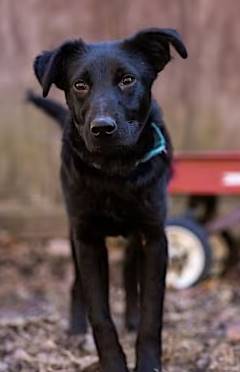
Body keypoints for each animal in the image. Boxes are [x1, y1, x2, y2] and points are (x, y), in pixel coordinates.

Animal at [31, 29, 187, 372]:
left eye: (127, 80)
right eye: (80, 85)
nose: (102, 128)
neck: (115, 171)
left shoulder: (155, 237)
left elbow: (151, 311)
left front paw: (148, 362)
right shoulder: (87, 238)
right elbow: (100, 314)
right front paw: (113, 363)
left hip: (135, 237)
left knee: (130, 272)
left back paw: (130, 317)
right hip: (73, 233)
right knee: (77, 284)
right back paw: (76, 329)